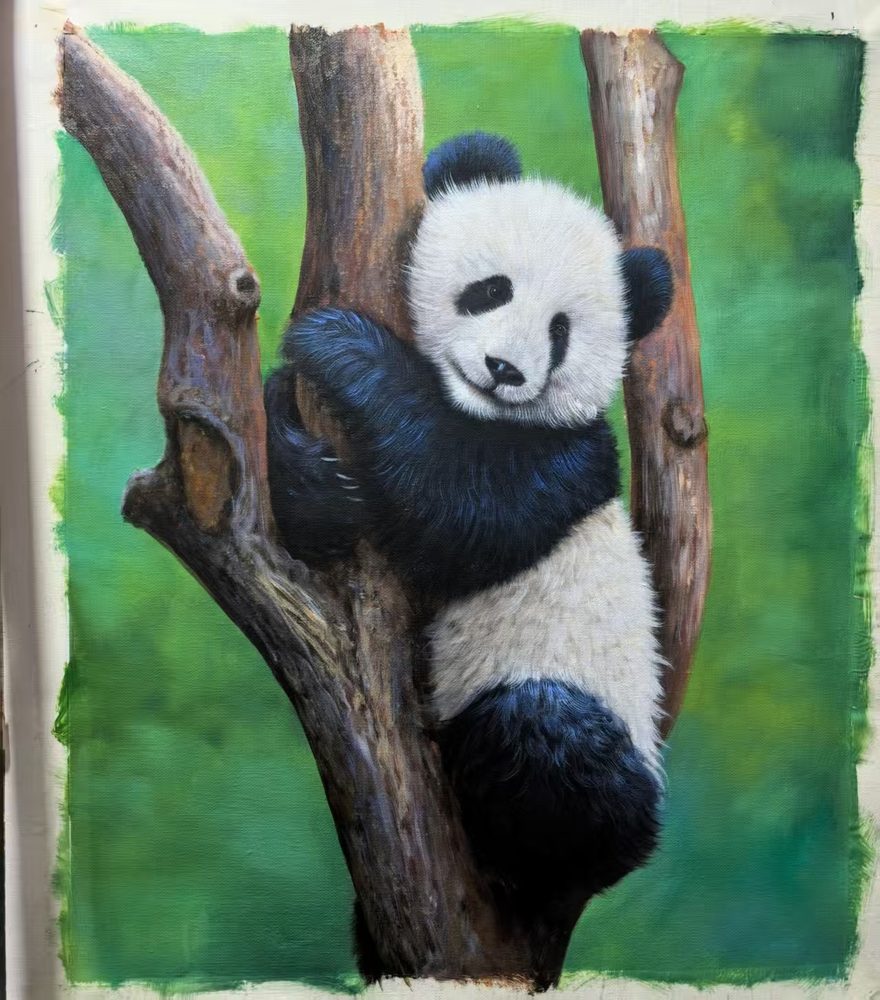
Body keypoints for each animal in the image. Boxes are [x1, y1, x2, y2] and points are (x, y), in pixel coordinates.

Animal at [265, 132, 672, 961]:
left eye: (560, 332)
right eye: (491, 290)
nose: (505, 370)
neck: (472, 404)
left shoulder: (568, 461)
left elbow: (459, 506)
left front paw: (342, 346)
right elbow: (324, 527)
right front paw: (308, 460)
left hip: (605, 740)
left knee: (545, 734)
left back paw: (521, 862)